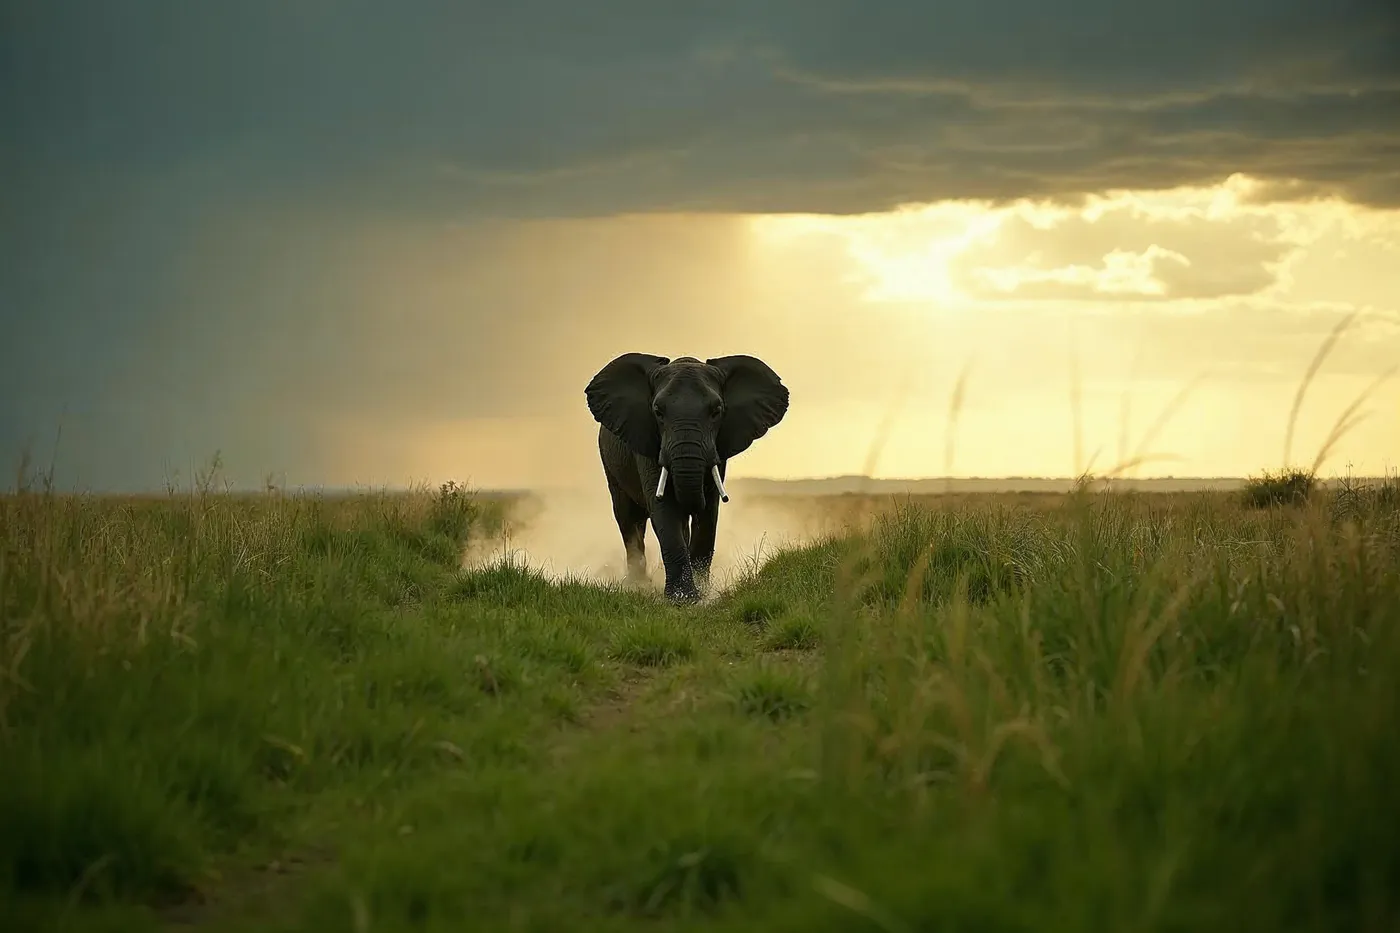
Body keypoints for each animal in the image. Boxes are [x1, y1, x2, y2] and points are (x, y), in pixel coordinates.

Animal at [585, 353, 789, 604]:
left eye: (716, 411)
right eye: (657, 411)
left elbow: (709, 513)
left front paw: (703, 594)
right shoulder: (648, 443)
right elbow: (665, 510)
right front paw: (683, 600)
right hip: (610, 462)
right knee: (628, 517)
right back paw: (637, 586)